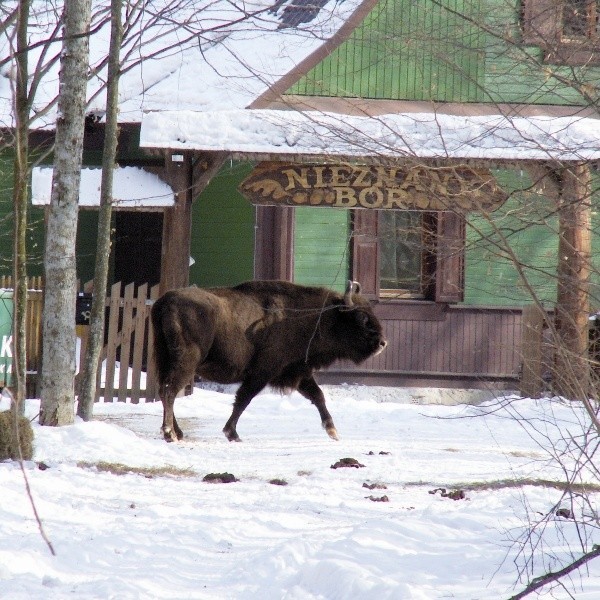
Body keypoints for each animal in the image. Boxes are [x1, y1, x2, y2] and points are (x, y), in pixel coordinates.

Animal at [148, 280, 386, 440]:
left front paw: (333, 431)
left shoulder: (297, 371)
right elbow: (244, 399)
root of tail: (164, 303)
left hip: (165, 360)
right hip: (185, 362)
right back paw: (170, 433)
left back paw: (177, 432)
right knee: (169, 390)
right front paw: (232, 433)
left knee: (164, 390)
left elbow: (318, 396)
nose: (383, 343)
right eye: (361, 317)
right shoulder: (263, 372)